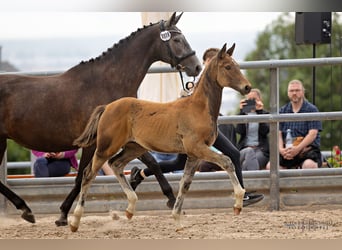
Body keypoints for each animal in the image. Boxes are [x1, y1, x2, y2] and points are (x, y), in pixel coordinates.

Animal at [0, 12, 200, 226]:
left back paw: (25, 209)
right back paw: (25, 209)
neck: (107, 83)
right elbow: (82, 176)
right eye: (177, 40)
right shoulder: (94, 143)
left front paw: (170, 198)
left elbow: (152, 162)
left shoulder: (127, 139)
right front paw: (63, 214)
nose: (196, 66)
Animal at [71, 43, 251, 232]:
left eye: (237, 65)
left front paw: (177, 220)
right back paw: (75, 221)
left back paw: (130, 208)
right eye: (228, 67)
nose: (247, 87)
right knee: (88, 174)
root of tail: (107, 107)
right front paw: (238, 203)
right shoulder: (197, 148)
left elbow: (185, 184)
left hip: (134, 147)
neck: (198, 108)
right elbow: (227, 161)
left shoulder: (194, 154)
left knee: (116, 164)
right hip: (106, 147)